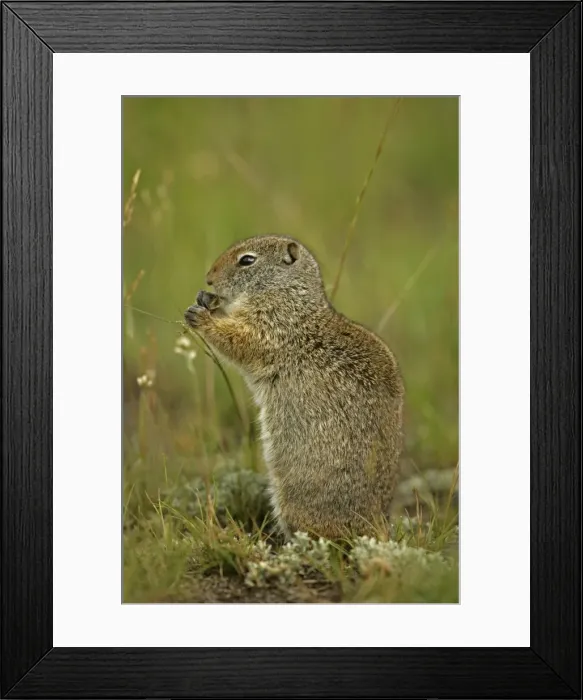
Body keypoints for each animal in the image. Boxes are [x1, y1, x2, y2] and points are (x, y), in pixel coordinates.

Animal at [185, 235, 404, 540]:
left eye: (247, 260)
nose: (209, 278)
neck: (290, 293)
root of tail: (377, 524)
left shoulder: (271, 324)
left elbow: (241, 339)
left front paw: (202, 316)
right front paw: (206, 299)